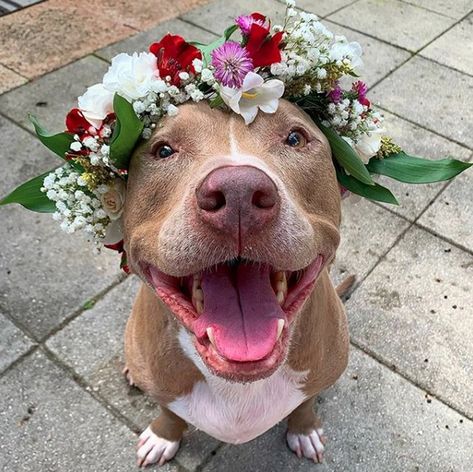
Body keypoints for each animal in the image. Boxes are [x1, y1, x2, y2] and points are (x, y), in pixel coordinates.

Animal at [121, 99, 350, 468]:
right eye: (163, 149)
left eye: (295, 138)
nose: (238, 190)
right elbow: (168, 410)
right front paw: (162, 436)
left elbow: (306, 402)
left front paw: (305, 429)